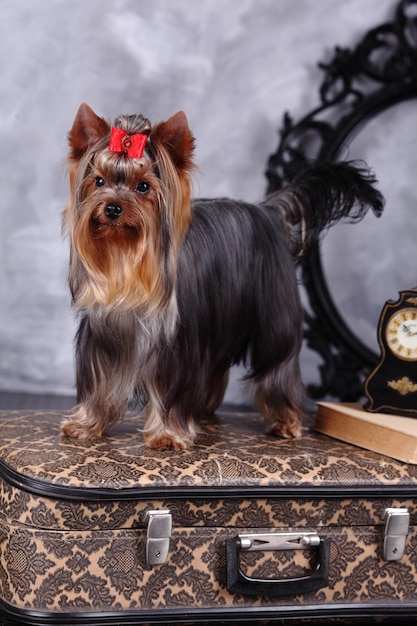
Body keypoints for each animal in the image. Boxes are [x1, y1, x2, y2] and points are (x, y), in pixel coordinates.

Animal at [61, 102, 384, 446]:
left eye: (143, 186)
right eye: (98, 181)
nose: (112, 208)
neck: (125, 259)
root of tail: (268, 211)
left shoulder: (178, 346)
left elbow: (171, 389)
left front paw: (167, 434)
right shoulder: (103, 335)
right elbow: (99, 383)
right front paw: (86, 424)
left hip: (273, 316)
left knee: (278, 364)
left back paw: (285, 421)